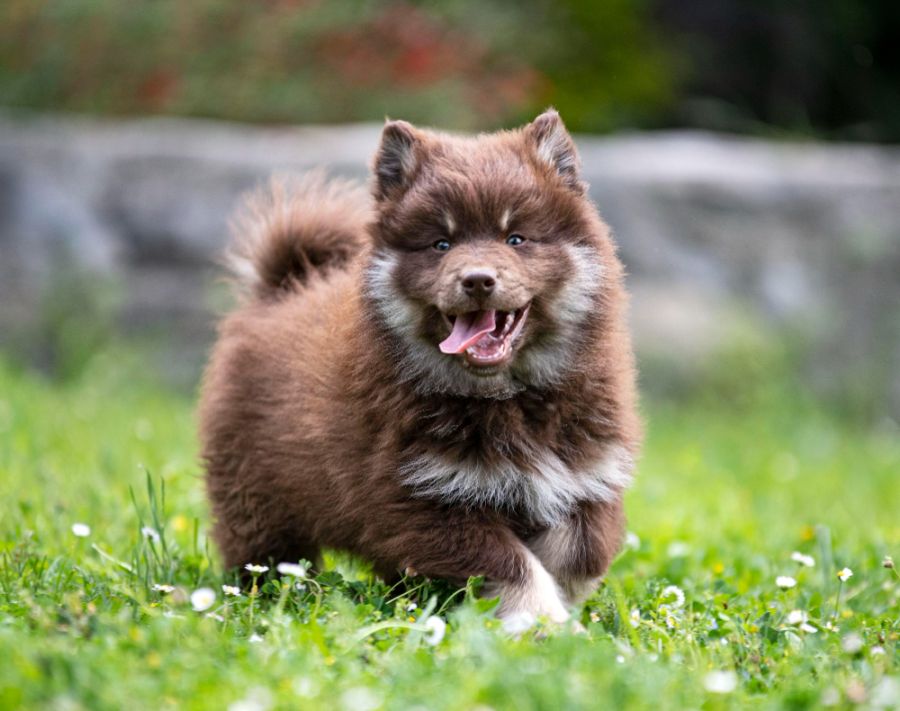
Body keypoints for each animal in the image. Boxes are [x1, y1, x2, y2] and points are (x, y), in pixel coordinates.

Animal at [201, 111, 644, 628]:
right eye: (441, 243)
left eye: (515, 238)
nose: (477, 279)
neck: (510, 399)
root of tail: (285, 285)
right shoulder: (422, 497)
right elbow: (512, 565)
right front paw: (541, 621)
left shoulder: (587, 477)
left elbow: (580, 553)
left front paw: (564, 605)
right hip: (256, 496)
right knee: (264, 554)